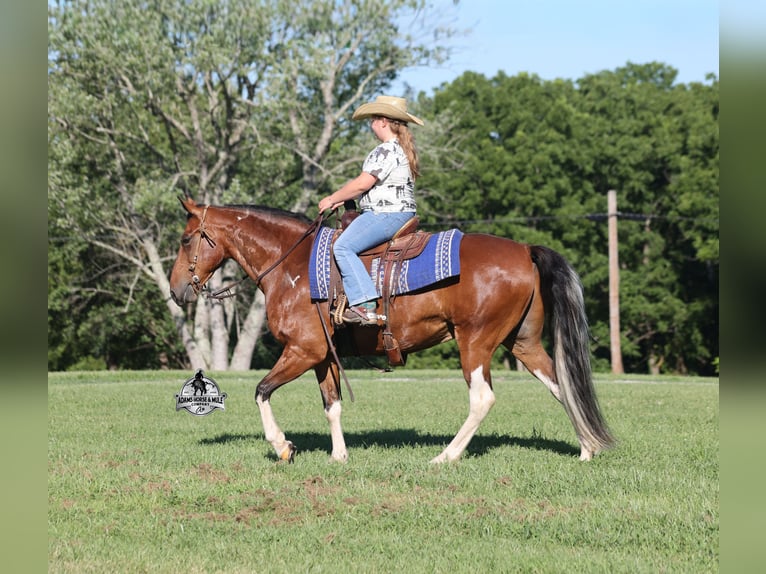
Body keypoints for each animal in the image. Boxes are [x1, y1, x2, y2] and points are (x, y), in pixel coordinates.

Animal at [169, 197, 614, 463]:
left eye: (186, 238)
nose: (176, 290)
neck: (290, 266)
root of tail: (524, 249)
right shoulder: (323, 357)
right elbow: (332, 404)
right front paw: (339, 456)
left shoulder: (303, 351)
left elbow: (261, 390)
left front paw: (283, 446)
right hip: (522, 342)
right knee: (561, 385)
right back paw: (587, 449)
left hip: (475, 342)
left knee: (482, 398)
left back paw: (446, 456)